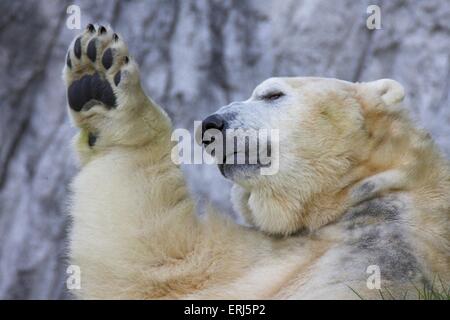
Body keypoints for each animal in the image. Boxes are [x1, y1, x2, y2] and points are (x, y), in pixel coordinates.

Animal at [65, 25, 448, 300]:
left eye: (272, 94)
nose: (211, 125)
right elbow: (159, 267)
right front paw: (94, 81)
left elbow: (159, 261)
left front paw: (102, 75)